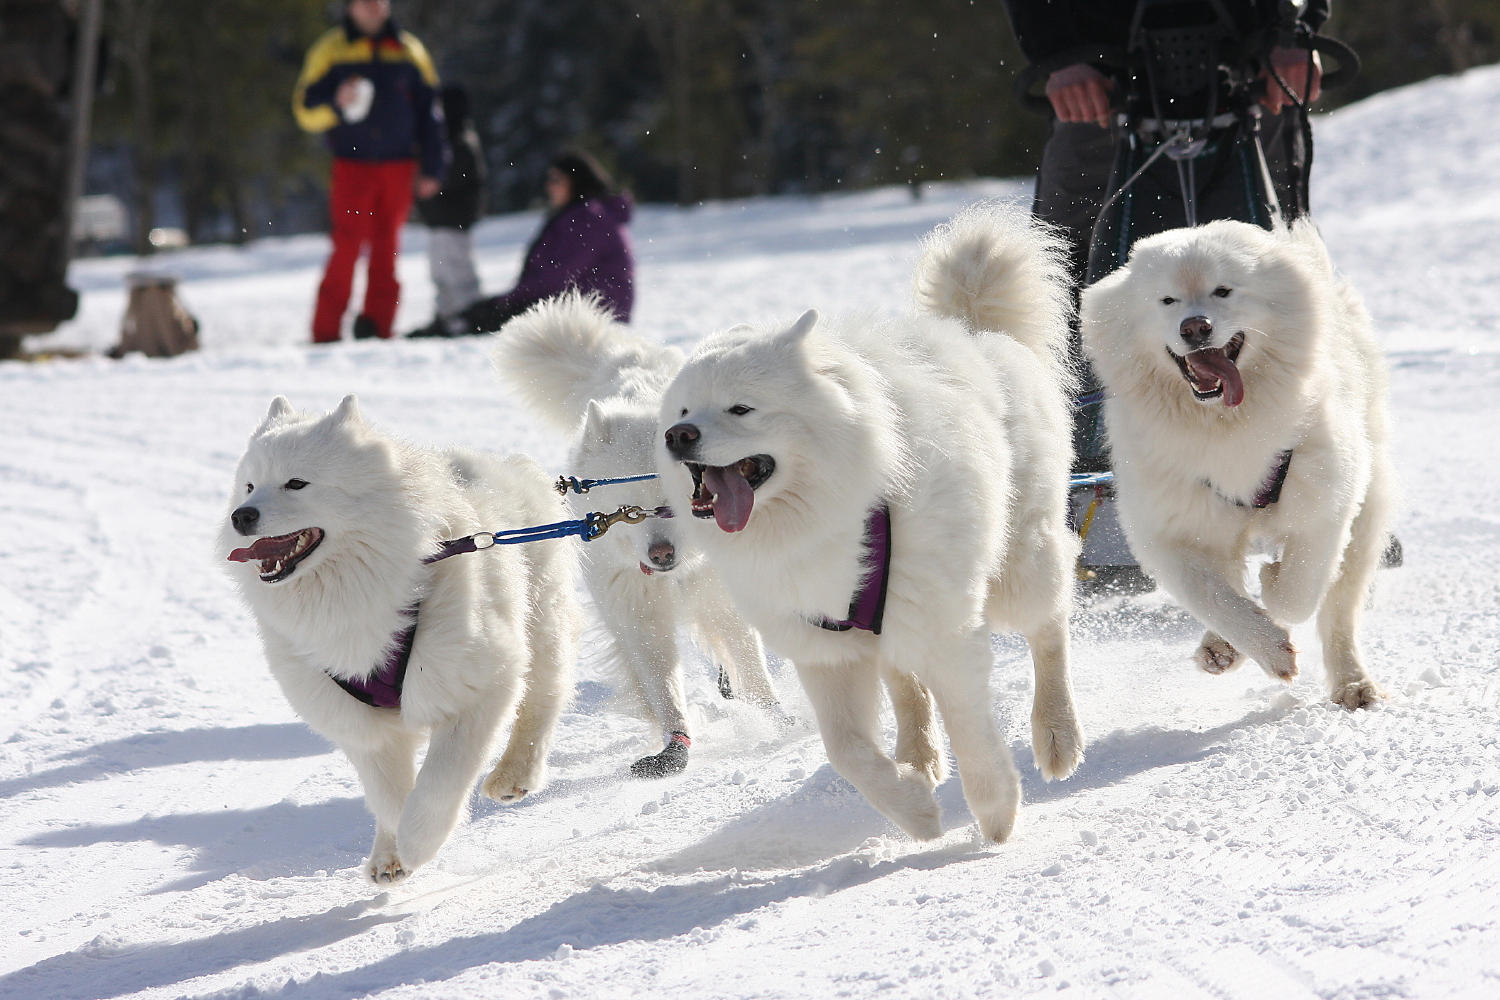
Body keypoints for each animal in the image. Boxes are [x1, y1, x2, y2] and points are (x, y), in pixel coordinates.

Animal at [219, 398, 582, 881]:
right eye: (249, 486)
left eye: (296, 483)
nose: (242, 516)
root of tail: (509, 464)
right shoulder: (360, 723)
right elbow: (389, 796)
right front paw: (392, 853)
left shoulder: (479, 684)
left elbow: (436, 786)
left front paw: (418, 843)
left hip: (539, 619)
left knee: (545, 693)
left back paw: (514, 774)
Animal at [495, 293, 780, 779]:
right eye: (626, 512)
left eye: (680, 502)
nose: (661, 553)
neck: (678, 576)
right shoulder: (638, 615)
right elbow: (664, 687)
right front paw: (674, 749)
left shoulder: (721, 600)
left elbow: (753, 666)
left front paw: (781, 723)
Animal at [657, 205, 1080, 845]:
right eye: (683, 411)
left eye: (740, 408)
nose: (677, 436)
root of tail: (974, 328)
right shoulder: (824, 649)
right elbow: (847, 752)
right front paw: (916, 810)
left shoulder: (942, 625)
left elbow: (970, 725)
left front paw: (996, 812)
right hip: (887, 627)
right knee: (904, 684)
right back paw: (917, 756)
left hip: (1017, 566)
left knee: (1049, 627)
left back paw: (1056, 735)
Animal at [1080, 221, 1392, 707]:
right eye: (1167, 300)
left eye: (1222, 290)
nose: (1195, 326)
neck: (1224, 427)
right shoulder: (1166, 528)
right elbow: (1212, 597)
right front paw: (1264, 647)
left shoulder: (1325, 502)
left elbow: (1299, 590)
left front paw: (1273, 583)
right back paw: (1220, 647)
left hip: (1368, 510)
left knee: (1339, 610)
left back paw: (1354, 685)